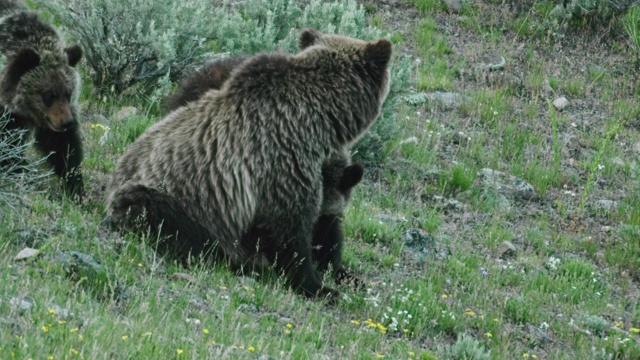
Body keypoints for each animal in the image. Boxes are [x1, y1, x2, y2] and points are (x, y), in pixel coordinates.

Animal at [0, 0, 84, 198]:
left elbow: (63, 145)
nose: (66, 122)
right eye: (48, 95)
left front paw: (75, 185)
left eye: (68, 93)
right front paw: (20, 167)